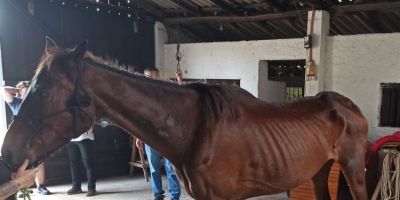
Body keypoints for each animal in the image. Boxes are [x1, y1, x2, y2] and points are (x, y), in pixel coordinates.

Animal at [0, 38, 368, 200]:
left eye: (43, 92)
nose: (8, 154)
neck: (194, 128)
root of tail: (350, 106)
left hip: (353, 169)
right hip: (320, 171)